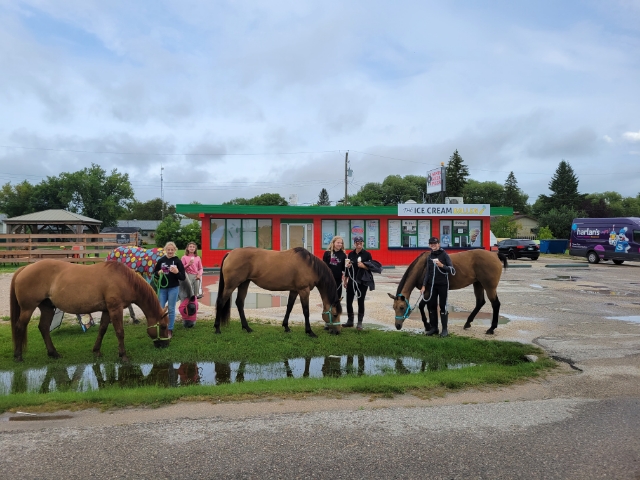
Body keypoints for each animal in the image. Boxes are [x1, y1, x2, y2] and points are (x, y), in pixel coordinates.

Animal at [10, 260, 170, 362]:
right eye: (163, 326)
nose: (165, 344)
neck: (123, 279)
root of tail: (25, 268)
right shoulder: (115, 309)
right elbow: (119, 332)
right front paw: (123, 355)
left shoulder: (107, 310)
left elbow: (102, 329)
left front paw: (97, 351)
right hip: (27, 309)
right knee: (20, 327)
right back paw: (18, 356)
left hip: (47, 308)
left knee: (43, 328)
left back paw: (53, 353)